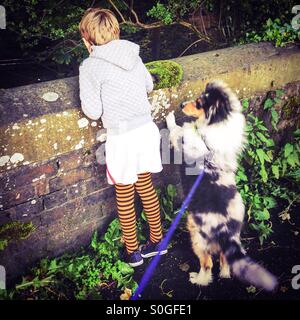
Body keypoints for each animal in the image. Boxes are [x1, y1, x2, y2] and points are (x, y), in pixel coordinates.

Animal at [165, 80, 278, 292]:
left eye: (199, 103)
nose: (181, 104)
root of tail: (225, 230)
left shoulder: (182, 139)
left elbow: (176, 129)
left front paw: (168, 117)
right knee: (225, 260)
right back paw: (225, 274)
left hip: (197, 237)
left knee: (208, 264)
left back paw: (198, 279)